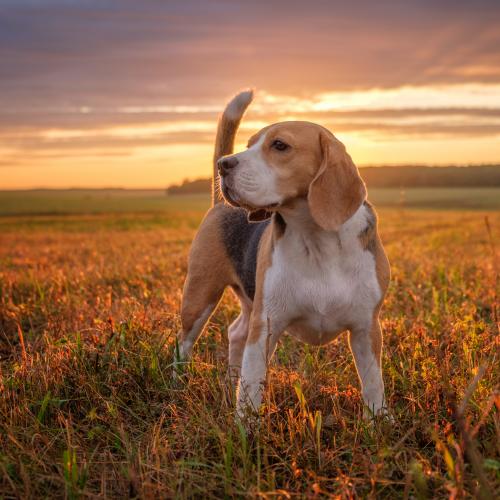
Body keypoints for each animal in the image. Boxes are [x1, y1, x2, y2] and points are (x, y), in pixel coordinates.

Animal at [176, 90, 390, 418]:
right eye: (249, 145)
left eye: (279, 145)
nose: (224, 165)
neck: (316, 240)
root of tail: (220, 204)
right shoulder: (266, 326)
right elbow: (252, 388)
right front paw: (245, 428)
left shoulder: (367, 328)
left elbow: (373, 384)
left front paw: (379, 422)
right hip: (200, 295)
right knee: (185, 344)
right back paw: (175, 384)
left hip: (248, 301)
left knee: (236, 332)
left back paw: (229, 383)